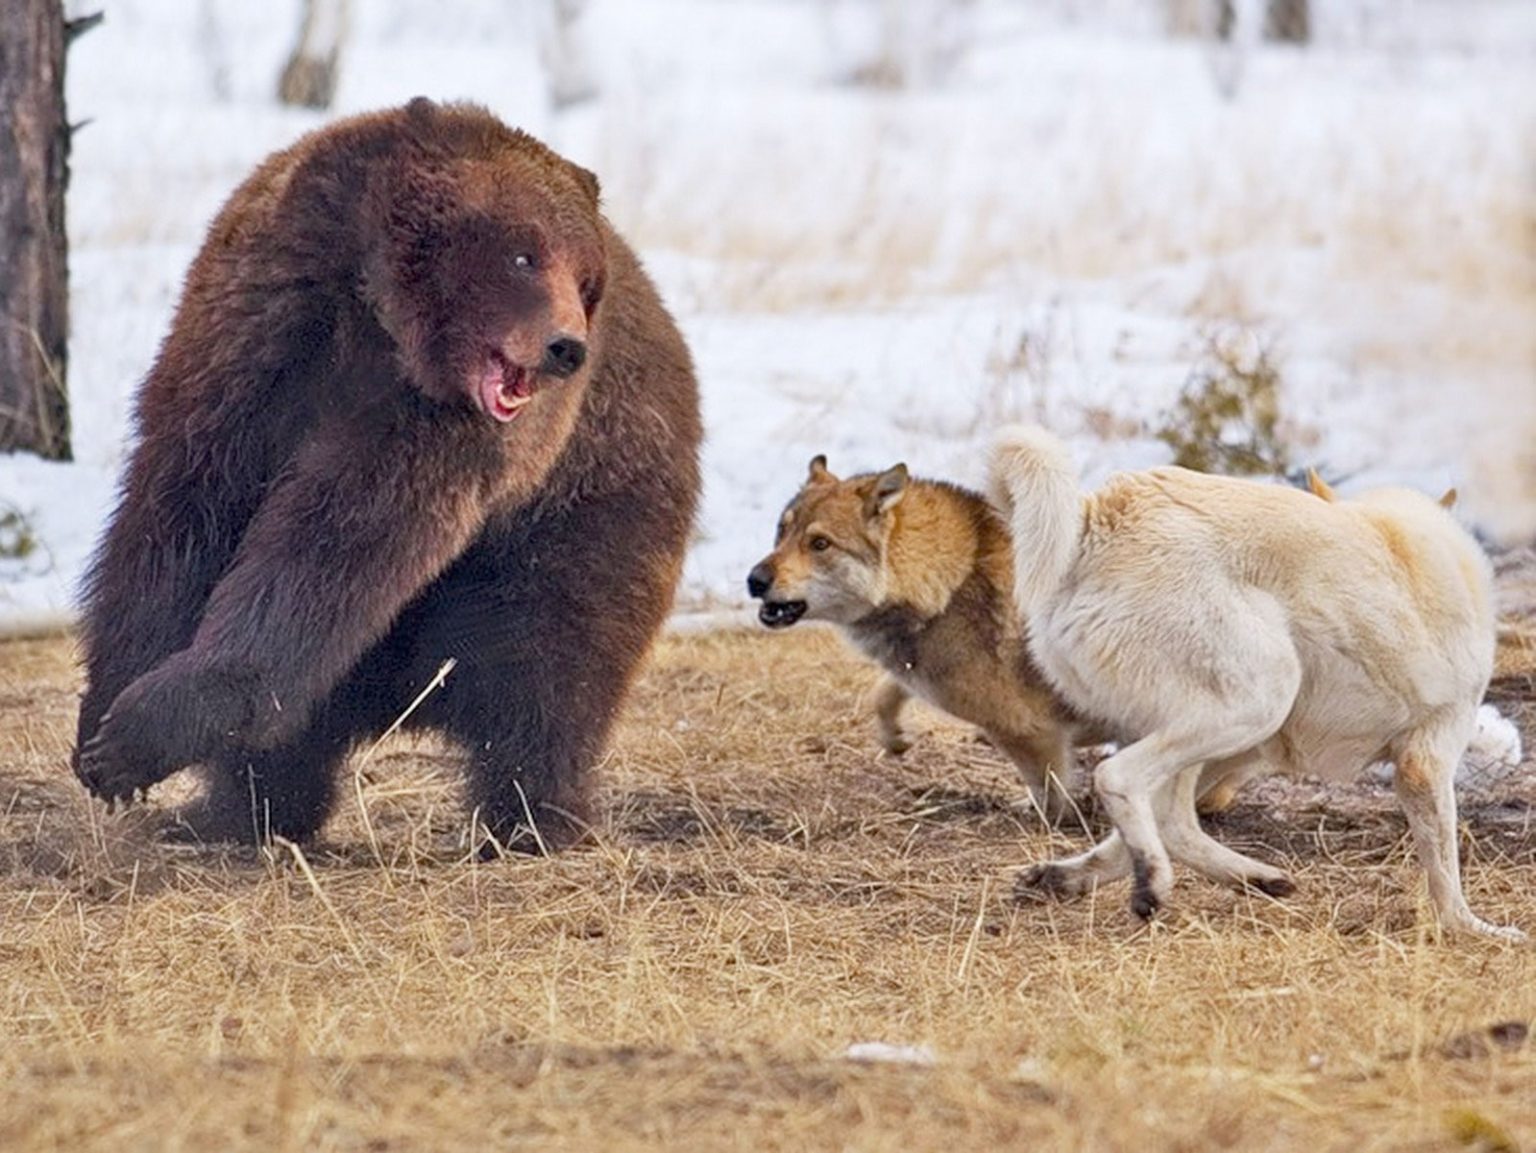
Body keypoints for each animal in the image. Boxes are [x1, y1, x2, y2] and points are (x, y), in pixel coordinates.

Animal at [70, 99, 697, 853]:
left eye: (585, 279)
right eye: (525, 254)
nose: (566, 347)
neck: (376, 313)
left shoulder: (439, 433)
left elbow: (333, 549)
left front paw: (145, 728)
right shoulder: (252, 340)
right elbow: (182, 510)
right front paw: (104, 720)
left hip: (584, 509)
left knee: (551, 674)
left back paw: (529, 820)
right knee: (303, 730)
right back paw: (234, 813)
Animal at [989, 423, 1517, 939]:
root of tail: (1096, 517)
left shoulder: (1233, 759)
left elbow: (1122, 842)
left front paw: (1065, 877)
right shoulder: (1425, 761)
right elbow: (1445, 873)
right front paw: (1473, 929)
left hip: (1217, 727)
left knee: (1171, 818)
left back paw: (1248, 877)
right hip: (1260, 698)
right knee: (1118, 778)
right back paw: (1156, 882)